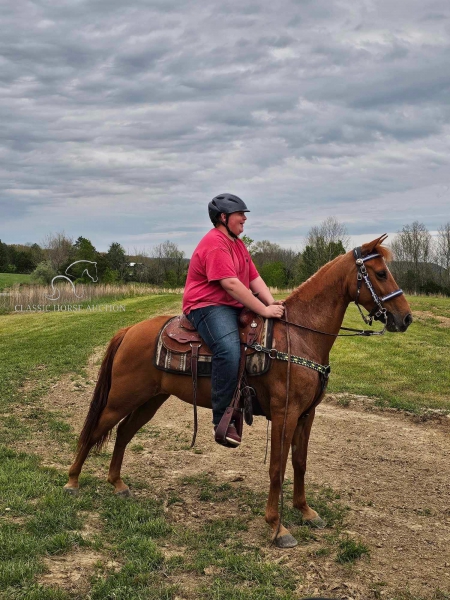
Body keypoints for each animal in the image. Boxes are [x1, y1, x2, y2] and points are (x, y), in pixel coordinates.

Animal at [63, 236, 412, 548]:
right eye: (381, 273)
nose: (405, 318)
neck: (299, 336)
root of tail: (129, 330)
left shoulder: (306, 414)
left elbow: (299, 462)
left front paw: (305, 511)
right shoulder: (285, 414)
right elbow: (277, 468)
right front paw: (277, 527)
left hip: (150, 399)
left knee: (123, 433)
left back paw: (117, 484)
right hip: (122, 398)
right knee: (94, 430)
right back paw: (72, 481)